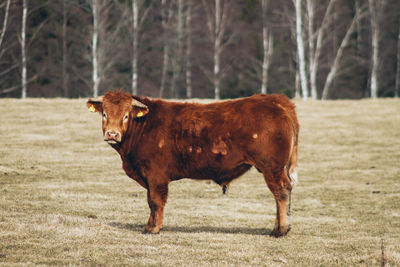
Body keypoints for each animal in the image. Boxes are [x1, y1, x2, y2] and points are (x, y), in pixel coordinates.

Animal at [88, 91, 300, 237]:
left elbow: (156, 201)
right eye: (104, 114)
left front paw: (154, 228)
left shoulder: (156, 175)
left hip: (272, 167)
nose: (112, 134)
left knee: (281, 192)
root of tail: (275, 100)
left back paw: (281, 230)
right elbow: (150, 201)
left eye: (126, 115)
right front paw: (149, 226)